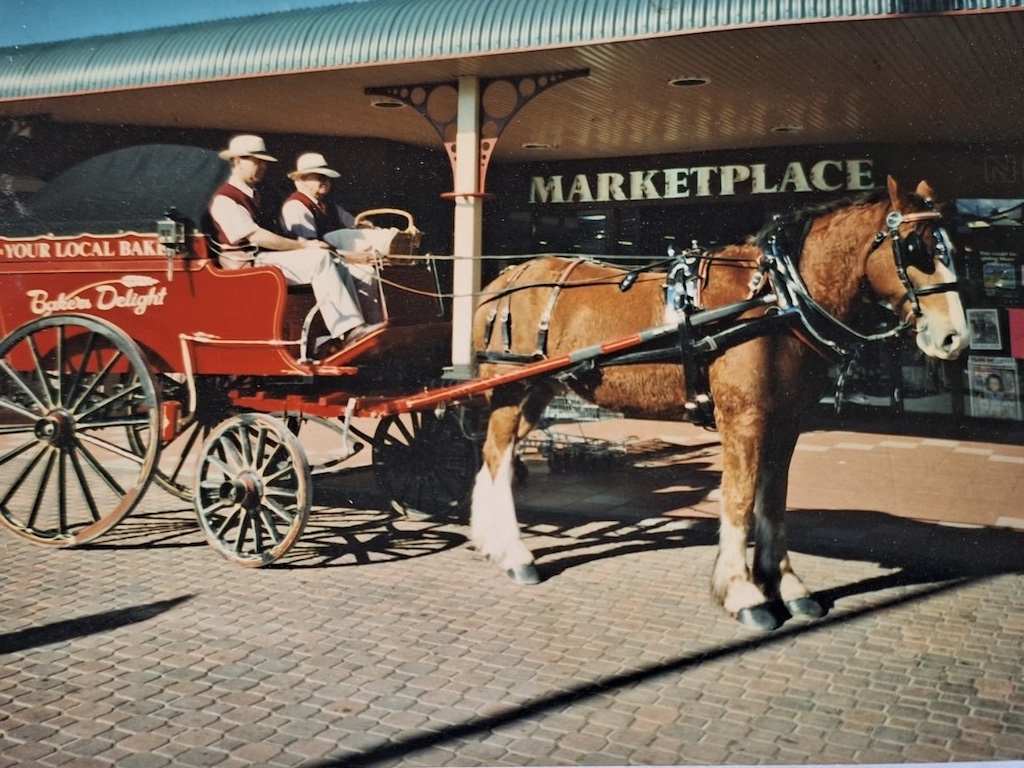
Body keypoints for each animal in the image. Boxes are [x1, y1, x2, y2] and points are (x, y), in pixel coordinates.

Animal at [468, 176, 966, 630]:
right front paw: (744, 594)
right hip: (510, 388)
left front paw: (787, 585)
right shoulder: (743, 420)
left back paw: (493, 545)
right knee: (497, 457)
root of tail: (504, 278)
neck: (776, 298)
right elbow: (739, 500)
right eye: (916, 249)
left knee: (496, 458)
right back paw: (516, 554)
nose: (955, 338)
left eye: (953, 247)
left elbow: (773, 502)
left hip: (537, 391)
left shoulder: (786, 421)